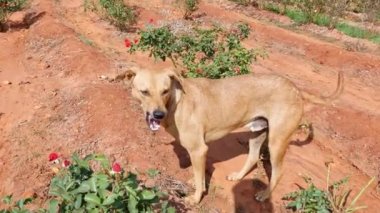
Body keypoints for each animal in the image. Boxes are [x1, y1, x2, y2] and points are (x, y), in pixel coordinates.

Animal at [125, 67, 344, 204]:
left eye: (164, 91)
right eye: (144, 92)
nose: (158, 114)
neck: (176, 102)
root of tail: (296, 89)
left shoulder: (199, 149)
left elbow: (199, 177)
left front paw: (195, 198)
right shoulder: (198, 152)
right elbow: (198, 174)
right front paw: (195, 182)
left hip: (277, 141)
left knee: (278, 171)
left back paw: (265, 195)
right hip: (258, 132)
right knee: (253, 157)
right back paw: (238, 176)